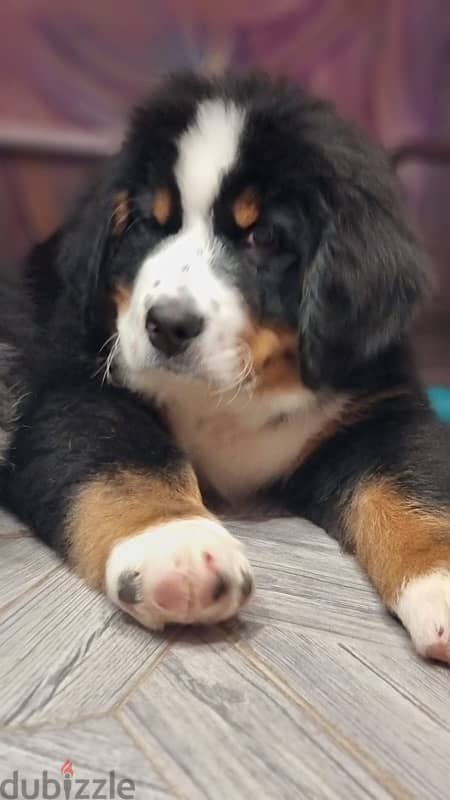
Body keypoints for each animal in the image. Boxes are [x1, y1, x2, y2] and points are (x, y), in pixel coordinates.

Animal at [0, 73, 450, 664]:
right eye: (148, 225)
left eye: (263, 237)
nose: (167, 325)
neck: (233, 396)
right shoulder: (72, 389)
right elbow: (123, 460)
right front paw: (178, 545)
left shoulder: (378, 412)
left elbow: (415, 484)